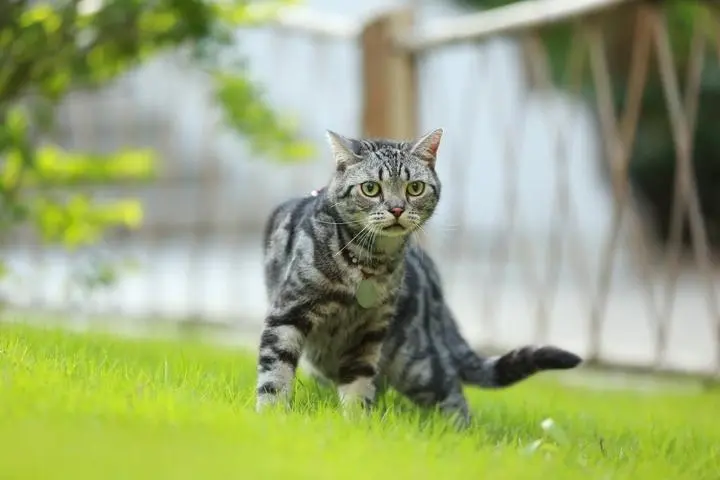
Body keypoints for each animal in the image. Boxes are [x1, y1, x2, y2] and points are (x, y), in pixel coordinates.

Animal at [256, 127, 584, 428]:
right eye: (371, 188)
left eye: (414, 188)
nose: (397, 208)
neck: (368, 264)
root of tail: (433, 282)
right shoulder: (289, 312)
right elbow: (275, 373)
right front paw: (272, 417)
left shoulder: (369, 333)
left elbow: (358, 385)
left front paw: (356, 423)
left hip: (416, 363)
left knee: (453, 392)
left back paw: (460, 433)